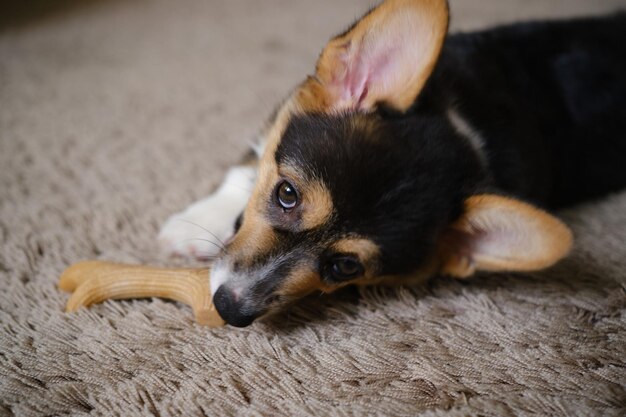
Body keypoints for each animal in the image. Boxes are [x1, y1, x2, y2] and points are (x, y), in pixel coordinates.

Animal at [157, 0, 624, 324]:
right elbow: (249, 164)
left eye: (345, 266)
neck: (462, 124)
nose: (229, 309)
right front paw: (197, 221)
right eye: (287, 193)